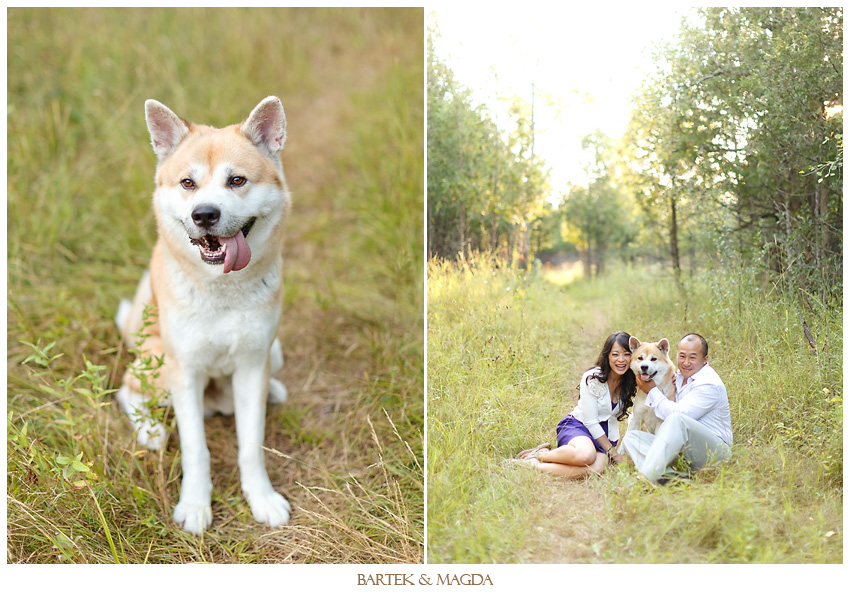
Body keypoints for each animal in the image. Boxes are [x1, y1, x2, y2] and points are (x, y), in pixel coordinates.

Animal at [115, 98, 292, 536]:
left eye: (237, 180)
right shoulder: (185, 371)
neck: (221, 291)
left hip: (274, 351)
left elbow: (251, 446)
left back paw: (275, 391)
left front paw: (261, 498)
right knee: (127, 388)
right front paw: (195, 505)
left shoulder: (252, 364)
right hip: (158, 365)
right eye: (187, 184)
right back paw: (150, 430)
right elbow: (196, 448)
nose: (205, 215)